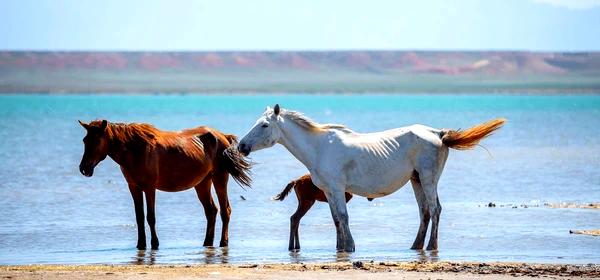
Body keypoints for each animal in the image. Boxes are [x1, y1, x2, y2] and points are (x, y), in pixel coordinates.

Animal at [77, 120, 251, 249]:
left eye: (97, 140)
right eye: (85, 140)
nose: (84, 168)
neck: (136, 149)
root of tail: (223, 136)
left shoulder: (149, 187)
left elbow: (150, 217)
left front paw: (155, 244)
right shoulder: (134, 187)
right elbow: (139, 217)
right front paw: (141, 245)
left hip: (220, 178)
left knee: (225, 211)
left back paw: (223, 242)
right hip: (202, 183)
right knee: (211, 211)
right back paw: (207, 243)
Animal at [237, 104, 504, 252]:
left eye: (264, 125)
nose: (241, 146)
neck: (319, 147)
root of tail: (438, 133)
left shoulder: (337, 188)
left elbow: (343, 217)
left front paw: (350, 247)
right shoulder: (329, 191)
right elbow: (336, 219)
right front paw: (341, 247)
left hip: (429, 179)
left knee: (435, 210)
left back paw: (431, 246)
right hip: (416, 180)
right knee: (425, 212)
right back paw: (416, 246)